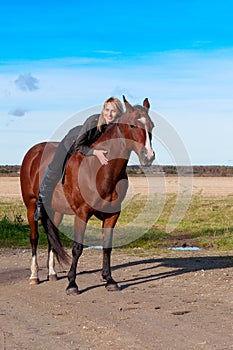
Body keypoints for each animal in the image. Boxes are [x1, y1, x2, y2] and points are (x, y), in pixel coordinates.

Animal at [20, 97, 155, 294]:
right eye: (132, 125)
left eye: (152, 126)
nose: (149, 156)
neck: (99, 170)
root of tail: (33, 152)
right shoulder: (82, 214)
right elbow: (77, 248)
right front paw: (72, 284)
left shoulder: (112, 215)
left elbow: (107, 246)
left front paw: (109, 280)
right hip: (31, 206)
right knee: (34, 238)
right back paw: (34, 276)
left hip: (56, 211)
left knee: (52, 238)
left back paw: (52, 273)